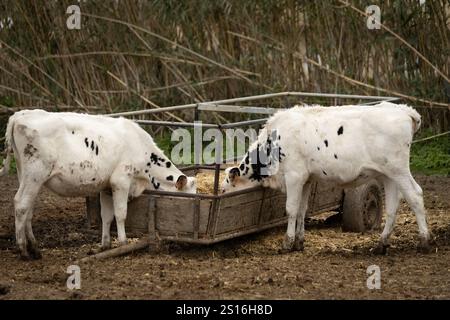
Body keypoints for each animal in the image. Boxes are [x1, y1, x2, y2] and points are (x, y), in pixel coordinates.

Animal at [0, 110, 197, 260]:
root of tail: (20, 115)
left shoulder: (106, 187)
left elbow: (106, 216)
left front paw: (105, 245)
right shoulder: (121, 180)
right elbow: (120, 214)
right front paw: (123, 243)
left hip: (26, 176)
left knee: (28, 209)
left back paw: (35, 248)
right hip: (35, 174)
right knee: (21, 204)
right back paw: (24, 250)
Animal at [221, 102, 432, 255]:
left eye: (223, 190)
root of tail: (403, 110)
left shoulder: (294, 176)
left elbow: (291, 209)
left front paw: (287, 243)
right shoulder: (306, 179)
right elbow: (302, 210)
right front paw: (299, 242)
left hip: (399, 169)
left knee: (415, 195)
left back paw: (424, 241)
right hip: (388, 175)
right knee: (393, 206)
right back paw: (381, 244)